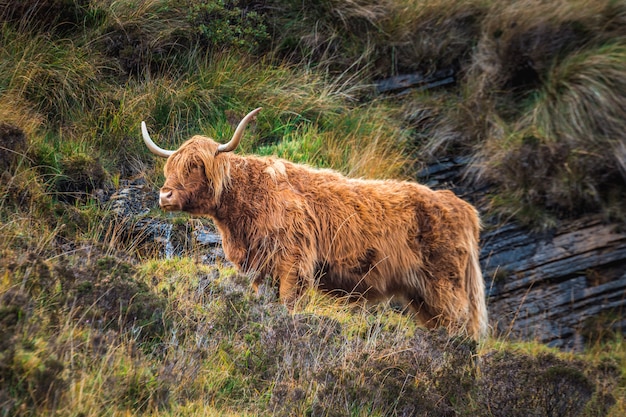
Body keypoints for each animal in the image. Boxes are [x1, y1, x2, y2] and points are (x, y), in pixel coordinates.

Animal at [141, 107, 488, 338]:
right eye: (170, 167)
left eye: (196, 166)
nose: (165, 195)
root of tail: (461, 206)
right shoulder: (256, 266)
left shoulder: (293, 263)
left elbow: (287, 304)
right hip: (422, 295)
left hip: (446, 285)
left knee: (461, 327)